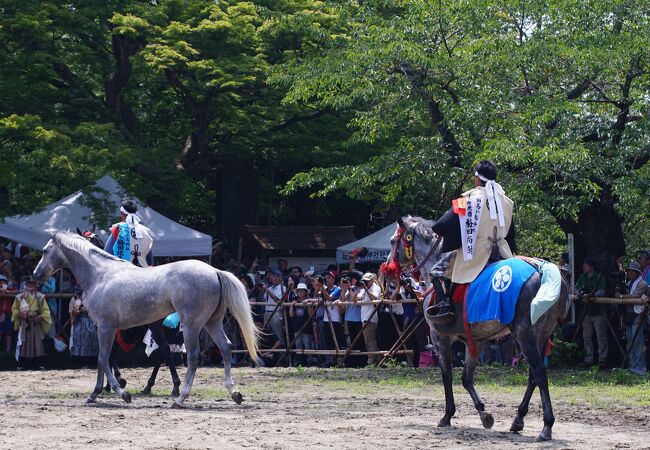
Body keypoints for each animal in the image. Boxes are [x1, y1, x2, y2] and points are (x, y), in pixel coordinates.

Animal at [32, 232, 256, 408]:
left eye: (44, 251)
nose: (36, 274)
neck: (100, 275)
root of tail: (215, 271)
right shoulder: (104, 329)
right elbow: (102, 360)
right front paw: (94, 394)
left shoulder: (106, 327)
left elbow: (103, 359)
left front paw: (122, 393)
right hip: (212, 322)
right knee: (226, 348)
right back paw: (234, 393)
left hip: (191, 326)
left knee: (192, 357)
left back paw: (180, 398)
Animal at [384, 216, 568, 442]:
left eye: (393, 241)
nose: (387, 269)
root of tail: (543, 270)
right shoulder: (474, 341)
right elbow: (466, 378)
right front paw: (483, 414)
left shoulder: (440, 338)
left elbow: (447, 375)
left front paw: (447, 416)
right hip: (541, 336)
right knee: (534, 375)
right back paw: (518, 419)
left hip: (524, 335)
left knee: (539, 373)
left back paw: (546, 426)